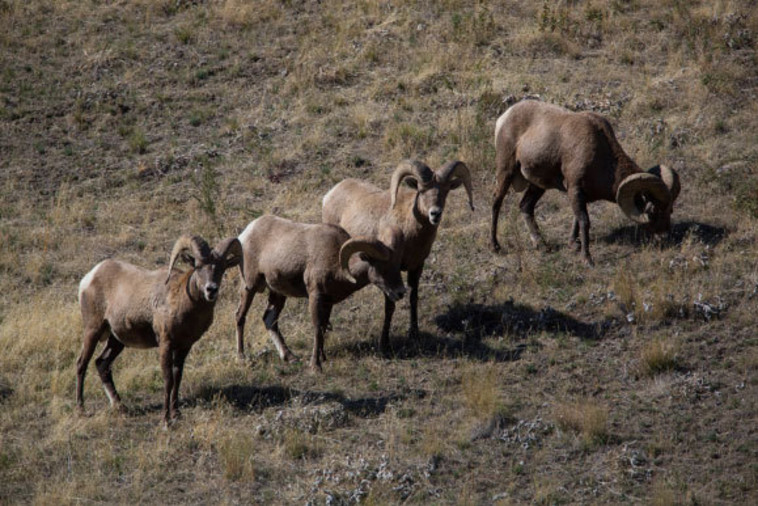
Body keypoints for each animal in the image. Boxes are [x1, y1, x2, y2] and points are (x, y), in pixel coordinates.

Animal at [75, 235, 242, 424]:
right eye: (198, 266)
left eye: (221, 268)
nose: (211, 289)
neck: (183, 302)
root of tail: (89, 278)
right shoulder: (165, 344)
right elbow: (168, 379)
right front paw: (166, 420)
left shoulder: (184, 347)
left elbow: (178, 377)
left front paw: (176, 414)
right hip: (92, 331)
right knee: (82, 364)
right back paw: (81, 409)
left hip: (116, 340)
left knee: (101, 364)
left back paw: (120, 406)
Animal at [236, 215, 406, 374]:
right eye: (382, 267)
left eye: (397, 265)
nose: (401, 292)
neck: (336, 263)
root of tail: (247, 232)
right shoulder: (315, 296)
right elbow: (317, 328)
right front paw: (315, 365)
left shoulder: (328, 302)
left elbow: (324, 327)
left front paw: (323, 357)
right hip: (249, 286)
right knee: (240, 316)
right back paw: (241, 357)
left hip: (278, 293)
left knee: (269, 319)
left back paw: (290, 357)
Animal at [322, 160, 476, 354]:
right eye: (421, 190)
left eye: (446, 190)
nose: (435, 214)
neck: (409, 231)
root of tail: (330, 194)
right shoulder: (390, 272)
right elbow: (390, 307)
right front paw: (384, 344)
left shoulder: (416, 267)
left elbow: (413, 298)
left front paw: (414, 333)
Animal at [492, 99, 684, 264]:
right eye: (653, 211)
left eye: (670, 210)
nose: (665, 237)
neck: (601, 156)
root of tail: (504, 117)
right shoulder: (575, 189)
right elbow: (584, 221)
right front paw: (587, 259)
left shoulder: (581, 195)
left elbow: (577, 219)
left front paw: (573, 245)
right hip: (506, 171)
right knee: (497, 202)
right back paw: (495, 247)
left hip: (538, 185)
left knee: (525, 206)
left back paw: (542, 245)